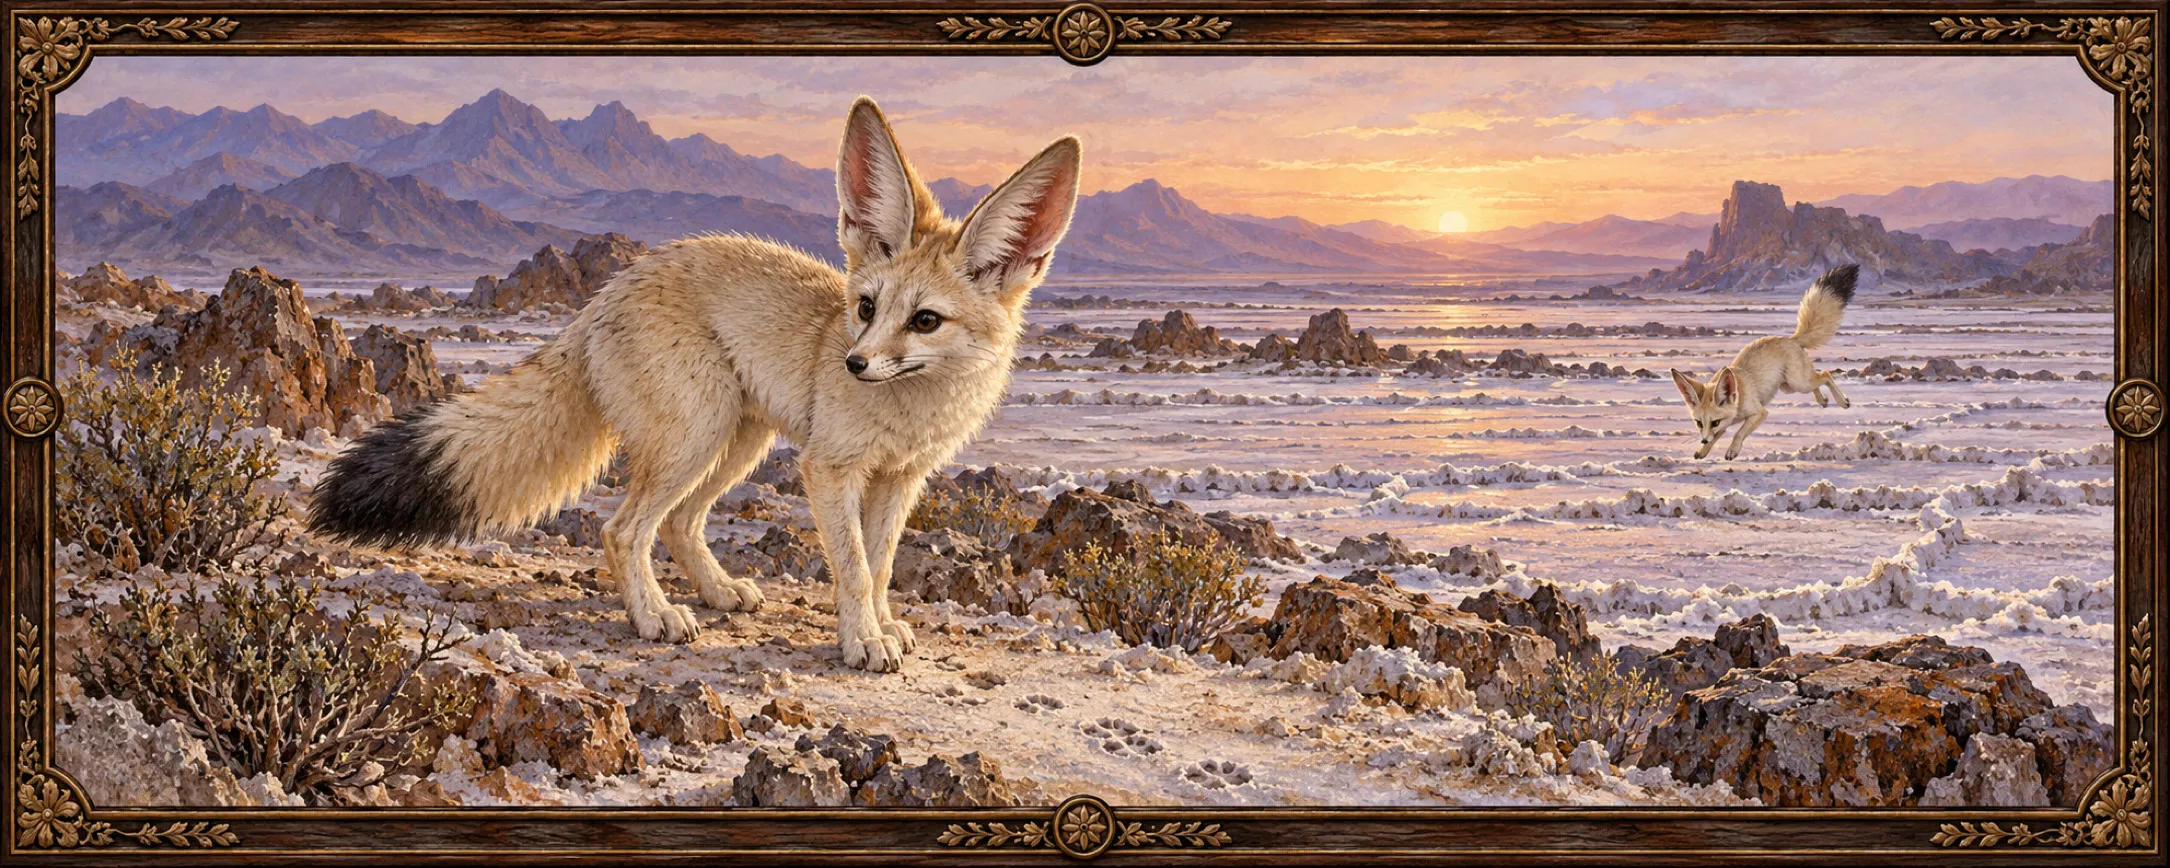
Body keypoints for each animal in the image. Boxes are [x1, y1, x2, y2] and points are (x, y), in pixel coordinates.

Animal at [308, 98, 1083, 672]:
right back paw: (655, 616)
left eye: (925, 321)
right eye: (866, 307)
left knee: (680, 524)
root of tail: (602, 296)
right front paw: (862, 640)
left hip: (736, 444)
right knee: (623, 530)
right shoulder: (829, 468)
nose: (855, 365)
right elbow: (857, 568)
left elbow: (883, 563)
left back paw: (716, 593)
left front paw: (883, 627)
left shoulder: (900, 478)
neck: (914, 411)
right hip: (699, 437)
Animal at [1670, 263, 1859, 460]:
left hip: (1797, 383)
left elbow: (1739, 433)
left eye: (1714, 422)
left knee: (1826, 374)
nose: (1703, 439)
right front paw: (1703, 450)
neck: (1738, 396)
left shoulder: (1759, 413)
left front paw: (1732, 450)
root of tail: (1790, 339)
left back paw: (1842, 401)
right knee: (1818, 378)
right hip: (1789, 387)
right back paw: (1822, 400)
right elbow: (1718, 437)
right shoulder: (1726, 422)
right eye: (1699, 422)